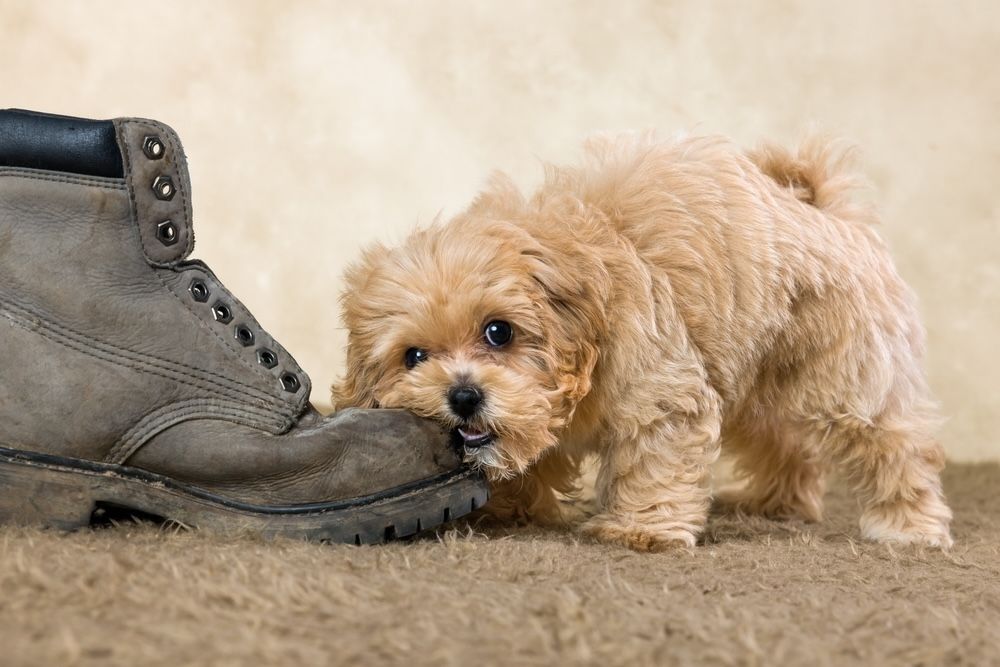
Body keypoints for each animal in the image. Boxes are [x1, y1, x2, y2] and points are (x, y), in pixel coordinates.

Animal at [334, 133, 952, 552]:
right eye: (414, 357)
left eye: (498, 331)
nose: (463, 396)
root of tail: (823, 208)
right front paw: (506, 507)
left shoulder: (661, 392)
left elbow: (655, 457)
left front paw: (641, 529)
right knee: (782, 439)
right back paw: (779, 503)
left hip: (851, 372)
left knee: (894, 444)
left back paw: (908, 526)